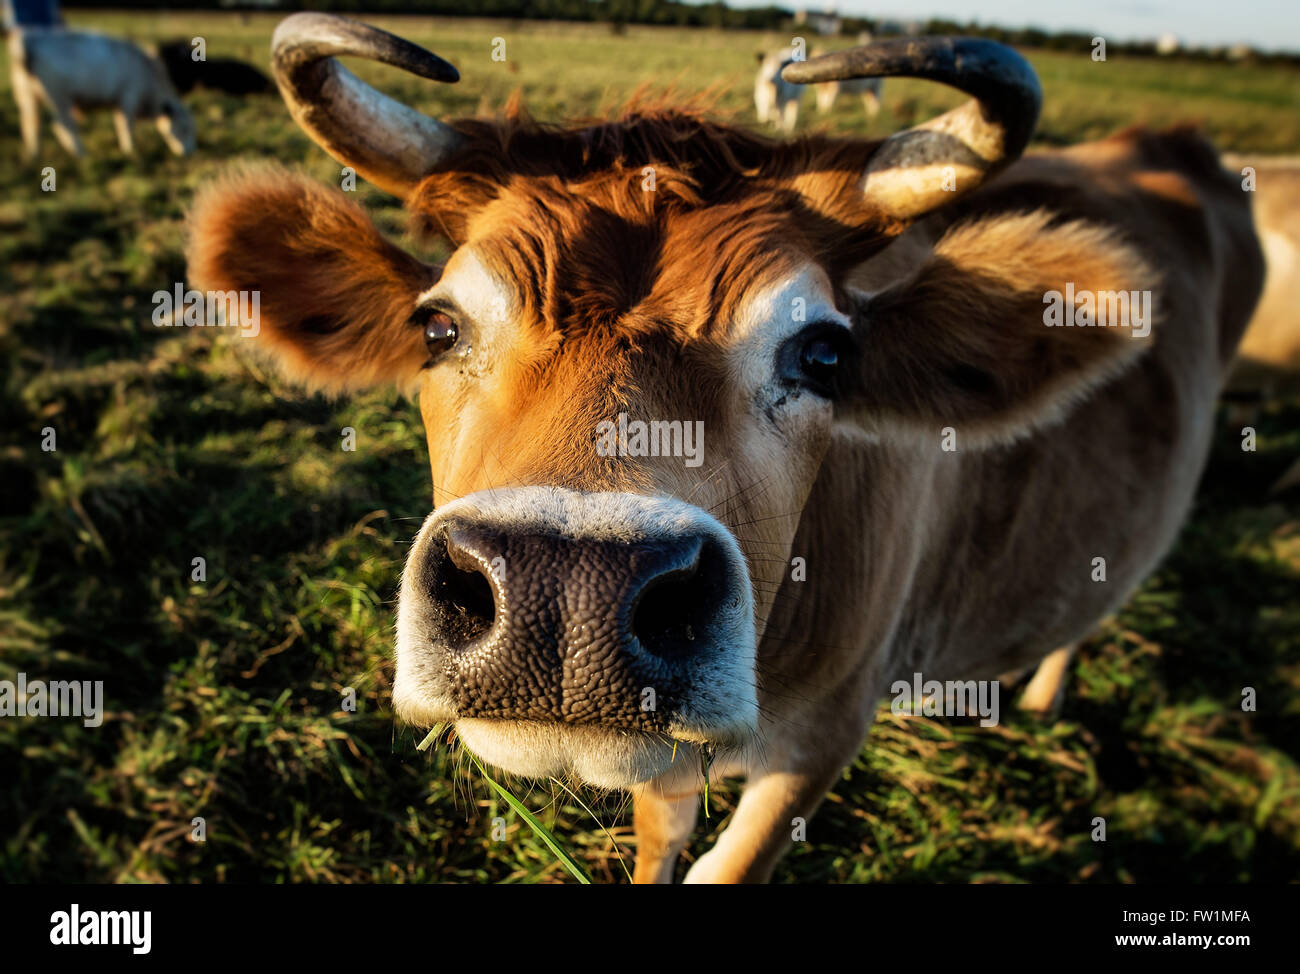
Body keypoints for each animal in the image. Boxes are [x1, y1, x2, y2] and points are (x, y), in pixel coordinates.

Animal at [8, 25, 196, 157]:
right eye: (185, 128)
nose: (190, 152)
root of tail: (30, 38)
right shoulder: (128, 98)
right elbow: (126, 126)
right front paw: (129, 150)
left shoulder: (119, 103)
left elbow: (120, 124)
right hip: (58, 96)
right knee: (63, 126)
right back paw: (81, 154)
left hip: (27, 96)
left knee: (30, 126)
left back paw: (34, 156)